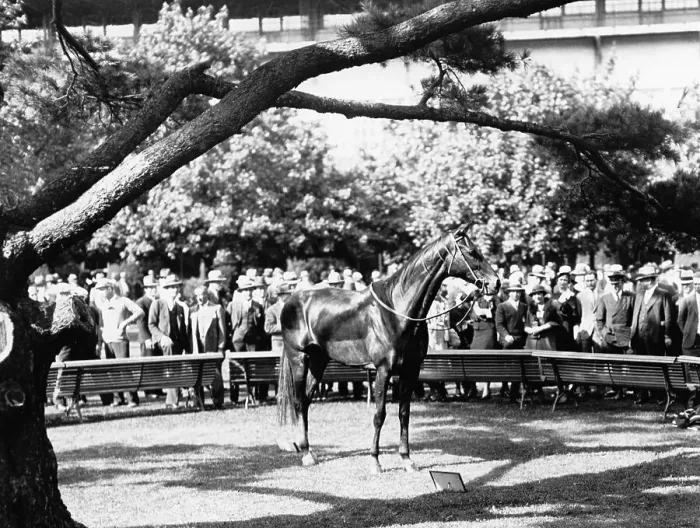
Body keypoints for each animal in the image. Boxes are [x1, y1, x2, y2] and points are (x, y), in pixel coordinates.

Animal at [277, 223, 500, 473]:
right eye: (472, 252)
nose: (496, 283)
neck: (398, 311)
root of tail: (291, 300)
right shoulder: (383, 370)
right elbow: (379, 415)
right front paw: (375, 461)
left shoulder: (411, 370)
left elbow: (404, 413)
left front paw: (406, 459)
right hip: (299, 359)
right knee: (298, 401)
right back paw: (306, 453)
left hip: (319, 361)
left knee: (306, 400)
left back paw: (308, 450)